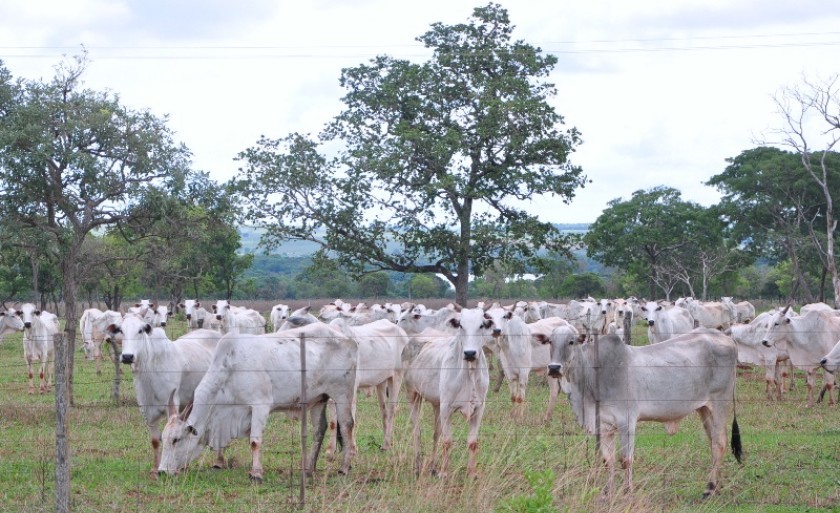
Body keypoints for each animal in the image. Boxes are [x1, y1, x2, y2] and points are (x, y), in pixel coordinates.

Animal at [110, 314, 225, 474]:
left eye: (140, 330)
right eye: (121, 330)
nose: (127, 356)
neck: (149, 371)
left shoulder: (172, 403)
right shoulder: (147, 411)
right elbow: (155, 440)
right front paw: (155, 469)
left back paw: (219, 461)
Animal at [158, 322, 358, 478]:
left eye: (176, 440)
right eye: (163, 439)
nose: (161, 471)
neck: (230, 368)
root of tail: (346, 336)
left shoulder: (260, 405)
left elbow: (255, 441)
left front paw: (256, 473)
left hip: (342, 394)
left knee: (347, 425)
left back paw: (344, 468)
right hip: (319, 399)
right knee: (319, 429)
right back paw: (309, 470)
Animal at [402, 304, 496, 476]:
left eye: (481, 325)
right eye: (460, 325)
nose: (470, 353)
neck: (470, 373)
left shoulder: (479, 408)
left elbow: (472, 442)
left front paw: (471, 472)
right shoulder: (447, 408)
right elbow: (447, 441)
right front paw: (444, 473)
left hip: (437, 403)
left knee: (436, 433)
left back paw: (433, 466)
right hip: (412, 394)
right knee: (416, 430)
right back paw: (417, 465)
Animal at [540, 326, 740, 498]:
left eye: (571, 341)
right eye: (550, 341)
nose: (554, 368)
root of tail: (725, 337)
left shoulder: (626, 422)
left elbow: (625, 460)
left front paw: (627, 492)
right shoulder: (603, 425)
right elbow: (608, 460)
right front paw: (607, 492)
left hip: (720, 402)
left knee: (719, 443)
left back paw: (709, 488)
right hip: (704, 409)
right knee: (713, 442)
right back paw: (717, 486)